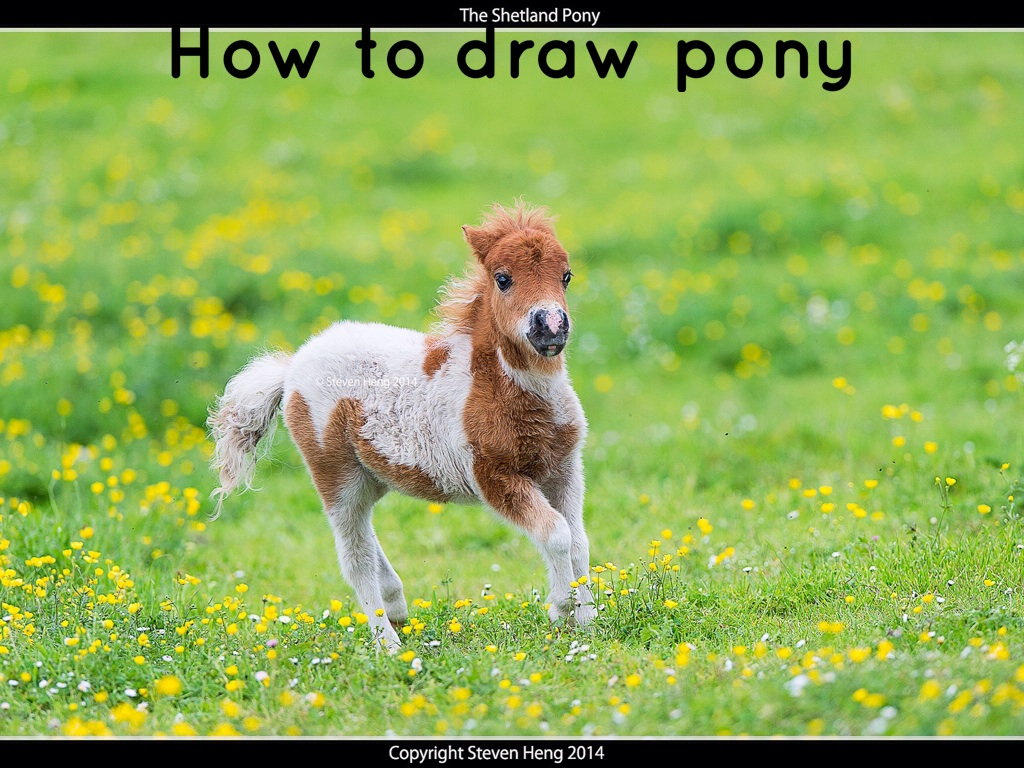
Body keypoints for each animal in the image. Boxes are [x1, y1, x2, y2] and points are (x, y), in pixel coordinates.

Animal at [207, 201, 596, 649]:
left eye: (566, 275)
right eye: (503, 279)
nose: (551, 325)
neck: (498, 387)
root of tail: (291, 370)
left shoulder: (564, 469)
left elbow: (579, 540)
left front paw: (588, 622)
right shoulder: (496, 478)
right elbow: (556, 534)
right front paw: (562, 609)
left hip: (371, 476)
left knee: (366, 532)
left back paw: (395, 606)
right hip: (335, 474)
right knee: (353, 555)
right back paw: (387, 644)